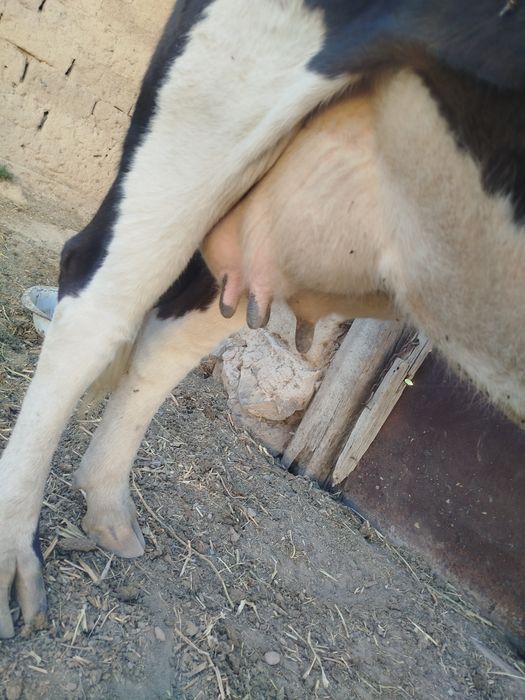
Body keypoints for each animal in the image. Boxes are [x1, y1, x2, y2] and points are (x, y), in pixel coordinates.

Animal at [0, 0, 524, 639]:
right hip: (218, 103)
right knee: (98, 298)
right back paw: (16, 558)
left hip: (278, 224)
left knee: (168, 341)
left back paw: (110, 514)